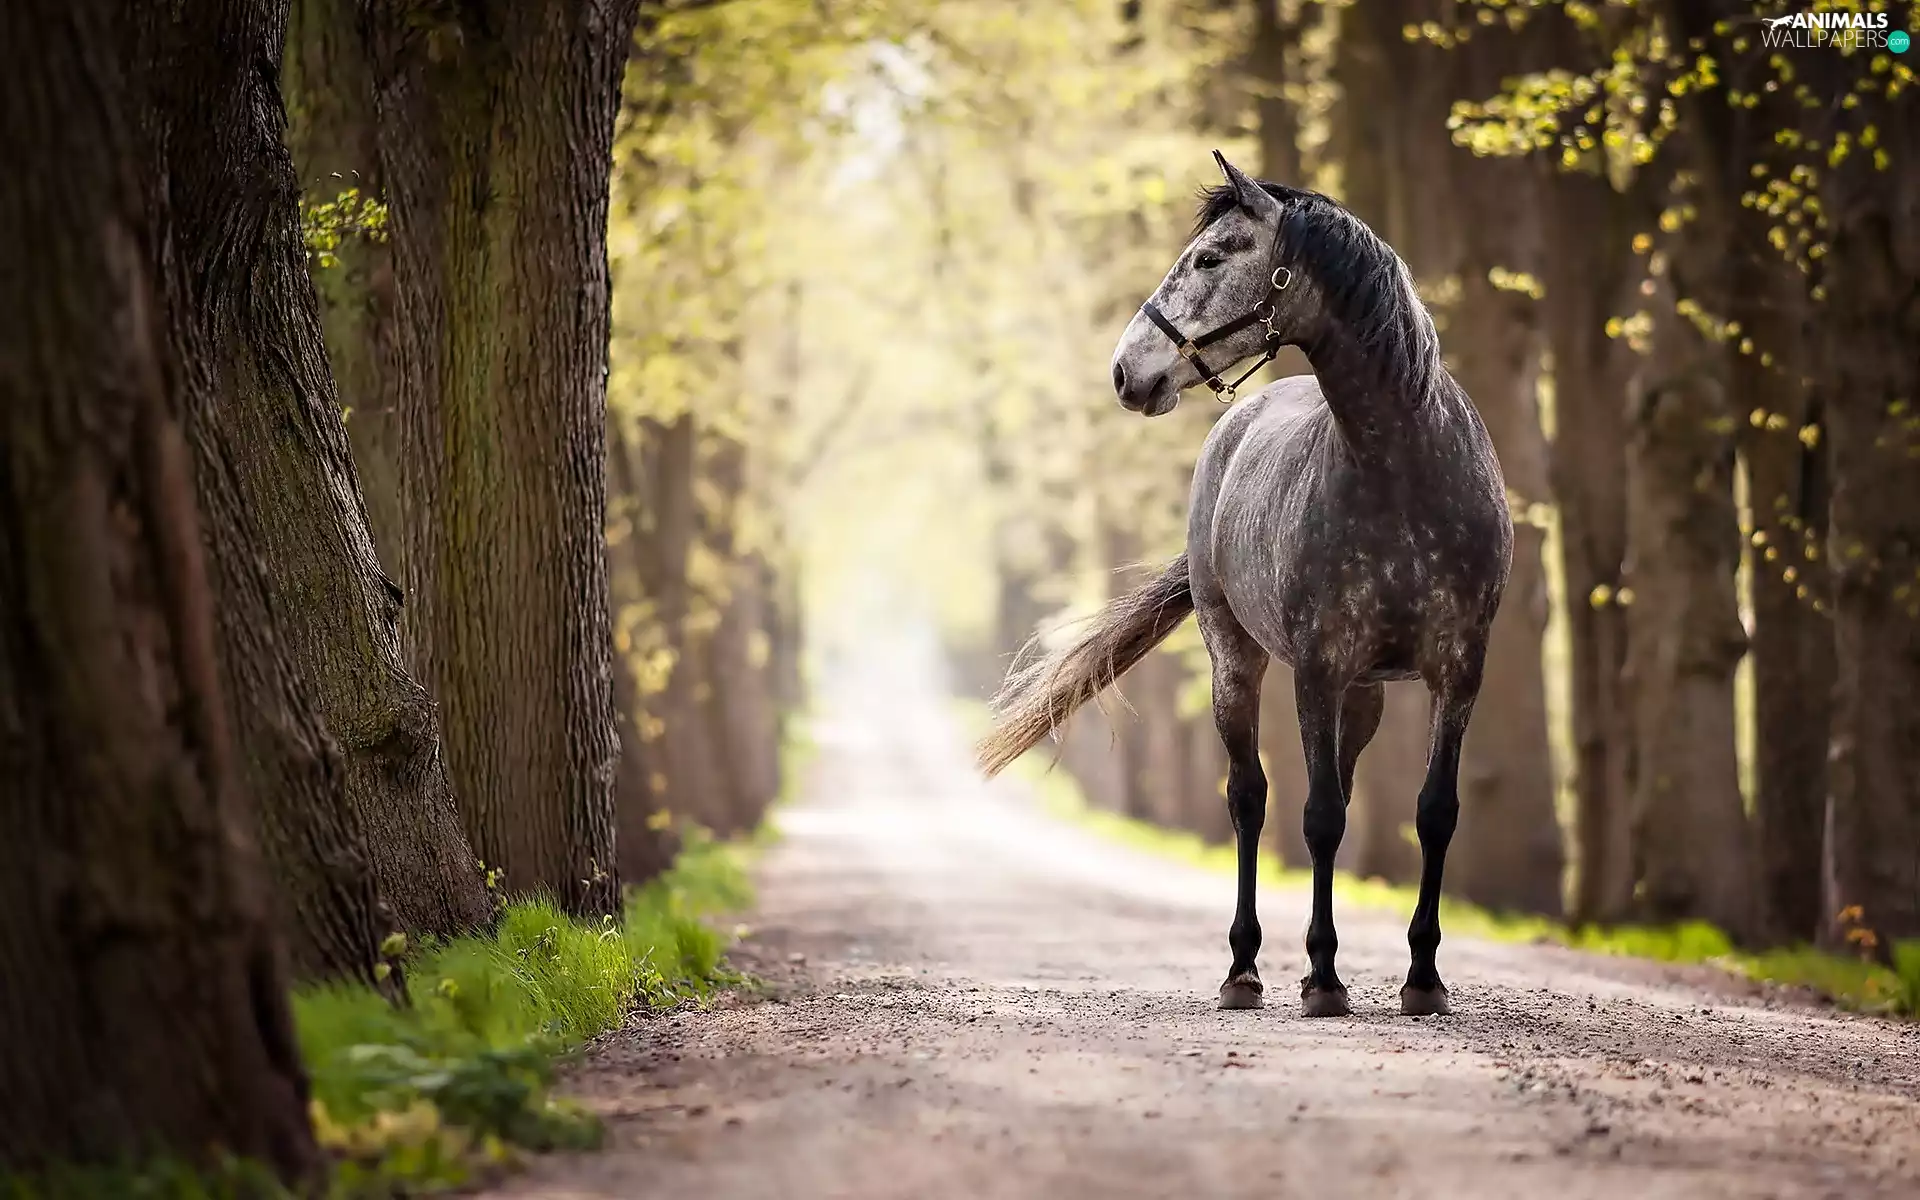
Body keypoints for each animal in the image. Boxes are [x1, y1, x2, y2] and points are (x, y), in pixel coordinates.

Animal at [976, 152, 1511, 1019]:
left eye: (1209, 258)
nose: (1125, 373)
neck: (1404, 473)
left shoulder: (1458, 672)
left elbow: (1434, 814)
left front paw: (1423, 978)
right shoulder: (1316, 670)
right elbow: (1317, 817)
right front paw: (1324, 979)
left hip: (1365, 692)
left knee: (1339, 788)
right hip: (1238, 663)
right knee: (1250, 799)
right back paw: (1245, 969)